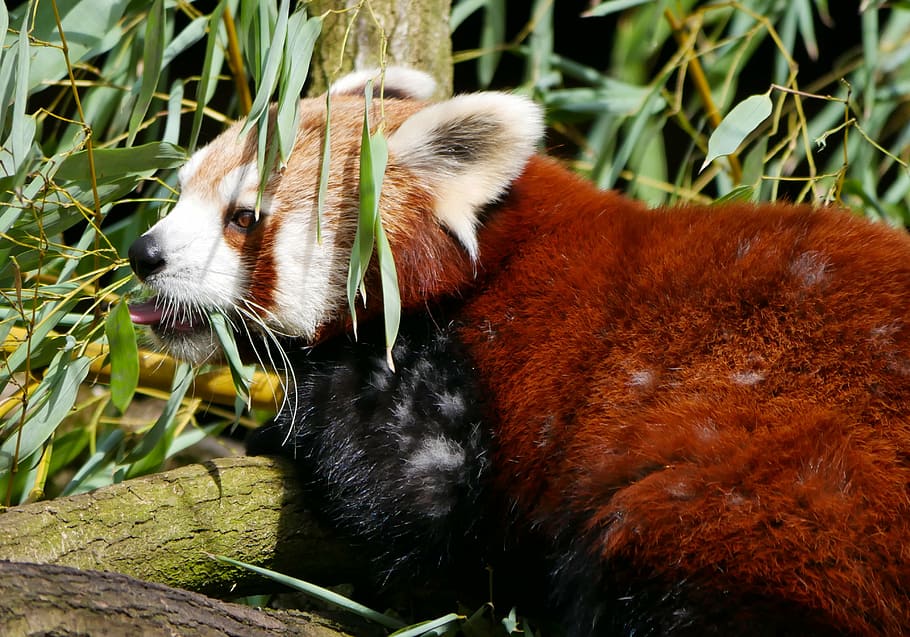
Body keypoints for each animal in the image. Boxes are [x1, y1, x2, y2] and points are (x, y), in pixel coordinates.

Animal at [127, 67, 910, 636]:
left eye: (243, 219)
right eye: (180, 190)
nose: (144, 253)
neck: (488, 261)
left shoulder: (490, 366)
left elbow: (415, 500)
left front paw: (291, 414)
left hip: (773, 492)